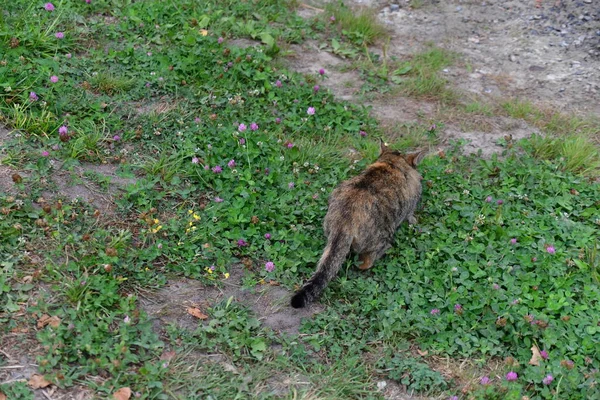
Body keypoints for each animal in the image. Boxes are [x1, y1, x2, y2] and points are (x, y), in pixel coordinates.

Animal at [290, 144, 426, 310]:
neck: (391, 163)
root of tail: (344, 224)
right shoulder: (411, 204)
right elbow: (411, 216)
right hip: (383, 233)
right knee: (366, 262)